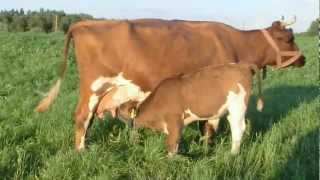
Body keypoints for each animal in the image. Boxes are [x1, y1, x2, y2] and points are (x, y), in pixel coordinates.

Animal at [116, 63, 262, 155]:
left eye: (122, 107)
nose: (115, 109)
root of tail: (242, 65)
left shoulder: (174, 122)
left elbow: (171, 145)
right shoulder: (179, 126)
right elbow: (176, 143)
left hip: (237, 107)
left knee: (238, 130)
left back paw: (232, 155)